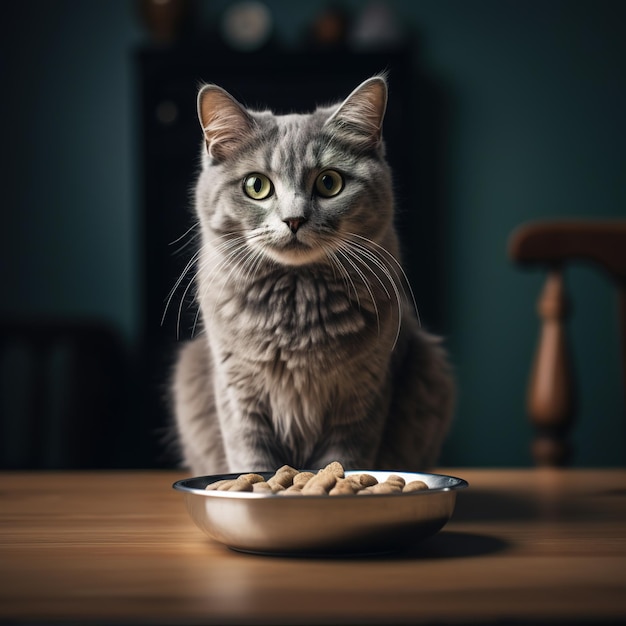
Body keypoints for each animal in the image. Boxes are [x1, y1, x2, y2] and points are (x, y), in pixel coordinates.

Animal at [171, 74, 454, 472]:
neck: (296, 299)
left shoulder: (361, 399)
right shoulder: (239, 396)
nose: (294, 219)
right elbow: (253, 462)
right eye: (256, 186)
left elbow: (343, 461)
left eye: (329, 183)